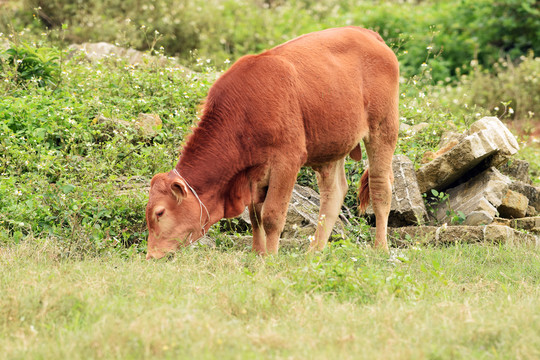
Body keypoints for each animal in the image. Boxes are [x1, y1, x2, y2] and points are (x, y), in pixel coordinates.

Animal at [146, 27, 398, 258]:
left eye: (159, 212)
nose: (151, 256)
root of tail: (366, 33)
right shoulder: (253, 172)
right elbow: (255, 216)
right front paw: (258, 255)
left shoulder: (287, 160)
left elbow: (272, 216)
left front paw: (271, 259)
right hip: (330, 144)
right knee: (333, 193)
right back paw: (314, 252)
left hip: (384, 127)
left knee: (380, 187)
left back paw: (380, 248)